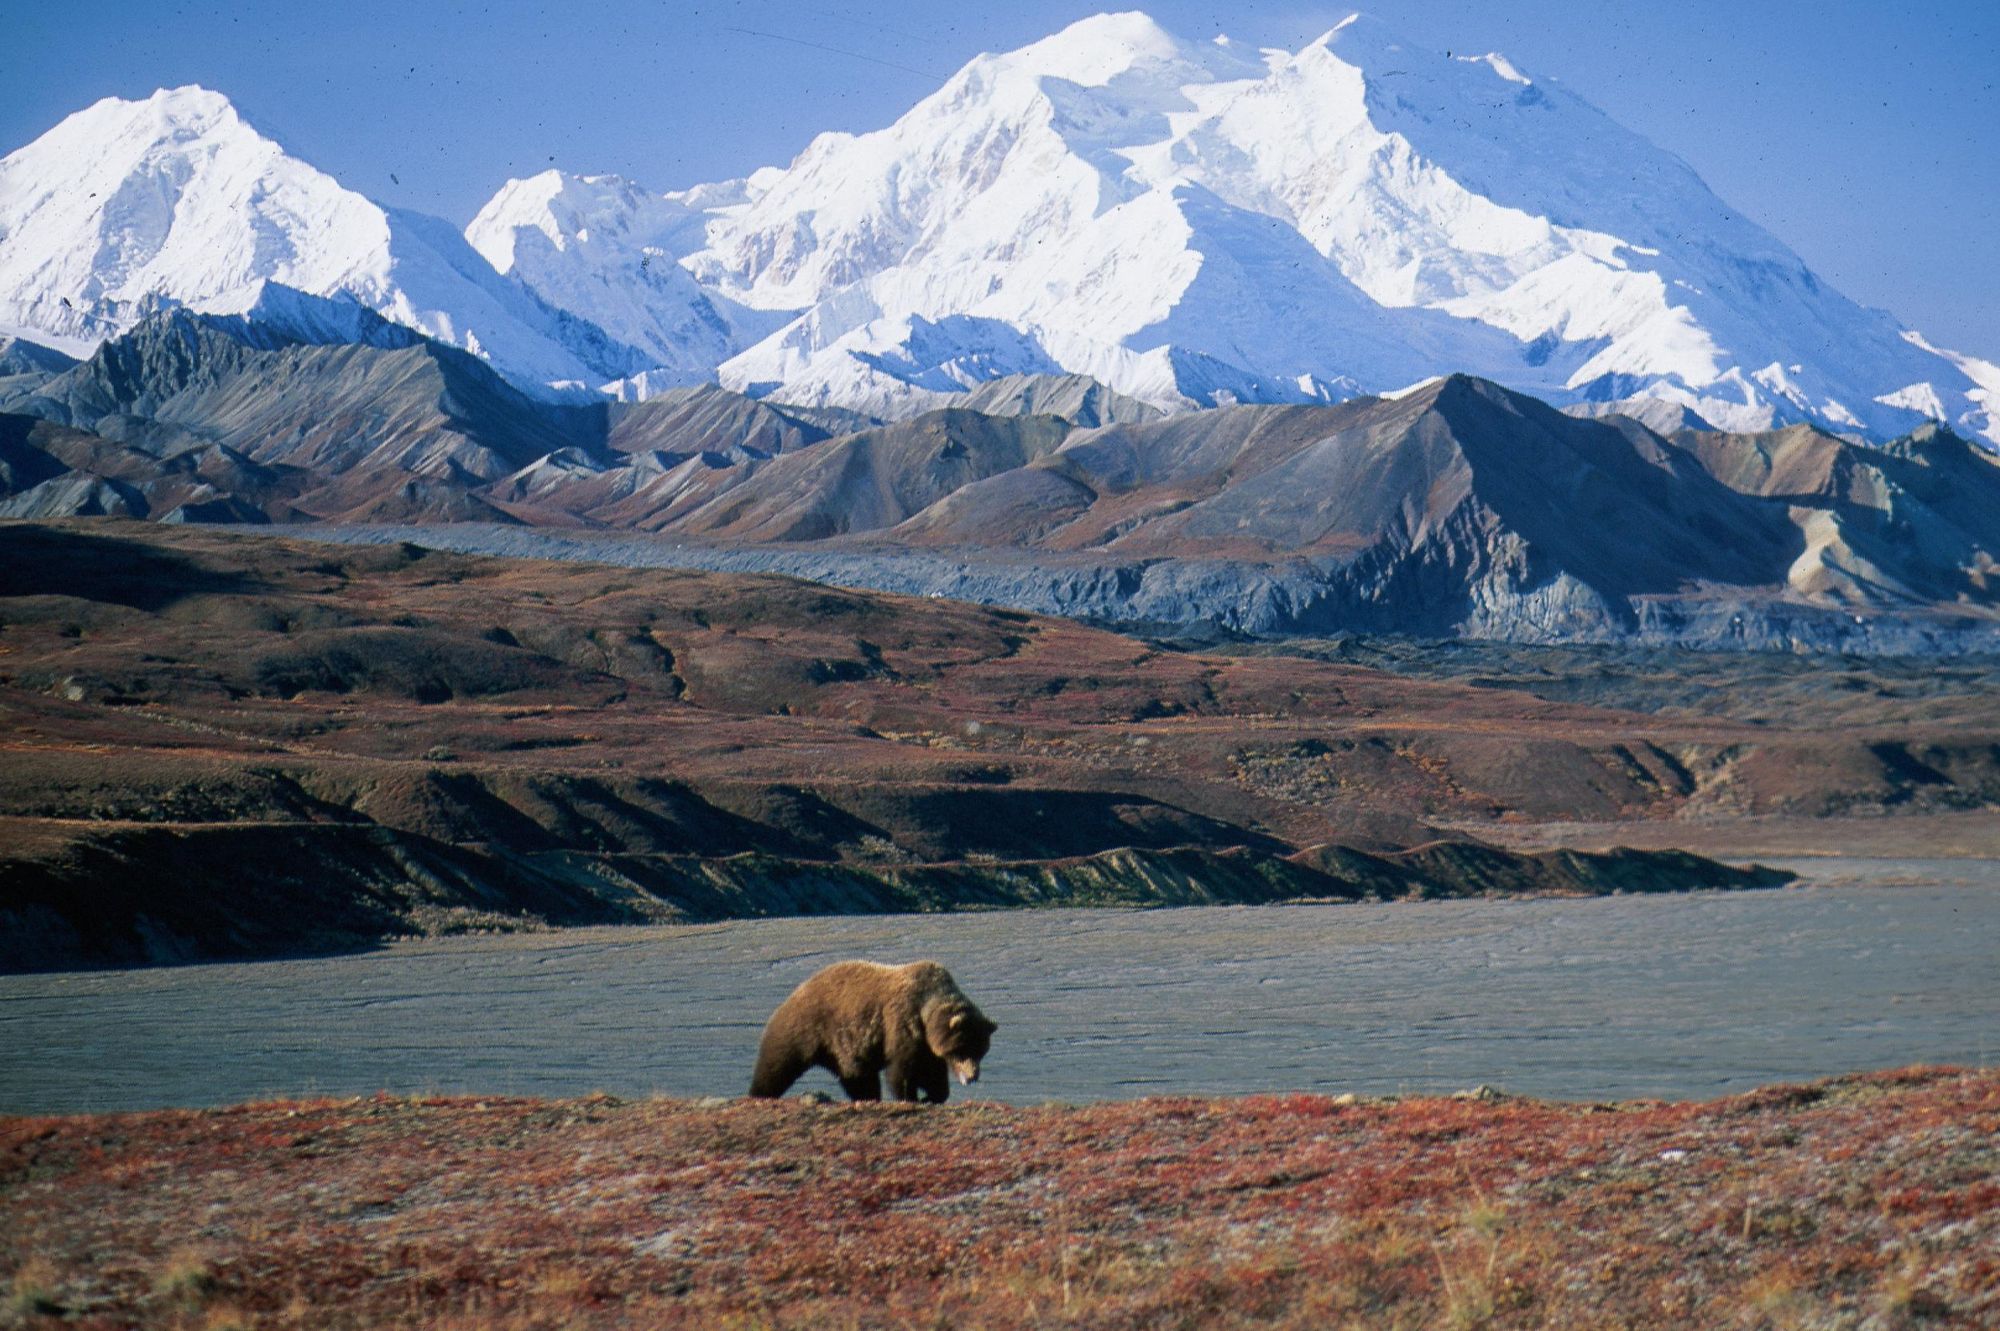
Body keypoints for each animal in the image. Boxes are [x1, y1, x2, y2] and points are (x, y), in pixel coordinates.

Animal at [748, 955, 996, 1095]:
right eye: (962, 1050)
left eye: (981, 1051)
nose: (972, 1077)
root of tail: (794, 992)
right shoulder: (903, 1025)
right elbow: (902, 1070)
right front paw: (910, 1096)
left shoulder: (926, 1045)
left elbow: (931, 1072)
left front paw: (934, 1095)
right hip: (804, 1027)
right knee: (777, 1064)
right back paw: (759, 1093)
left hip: (843, 1051)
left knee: (858, 1079)